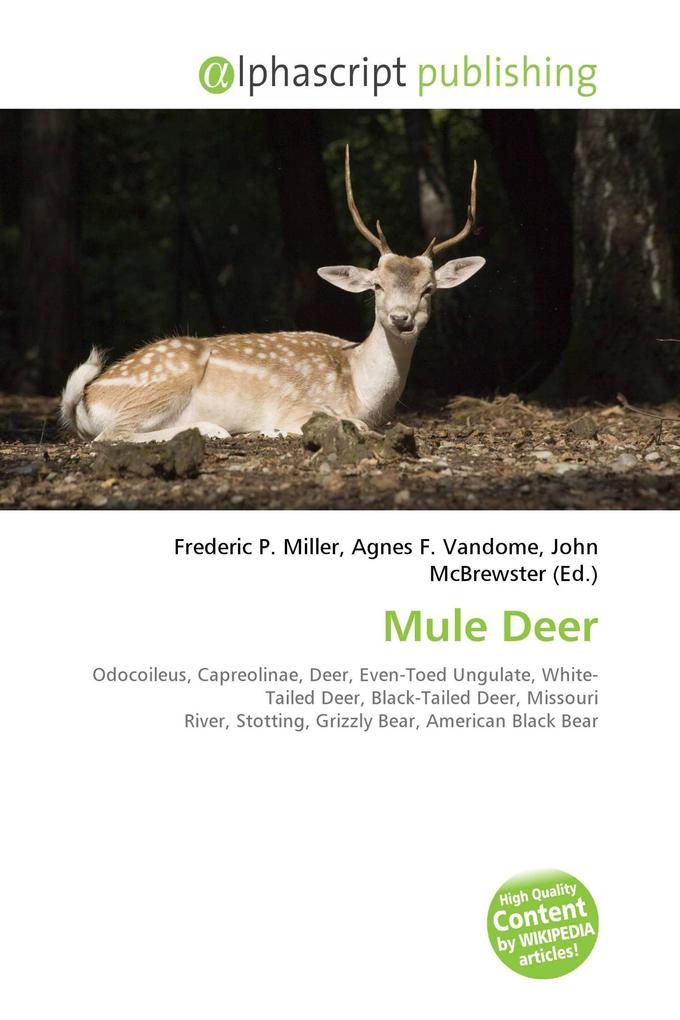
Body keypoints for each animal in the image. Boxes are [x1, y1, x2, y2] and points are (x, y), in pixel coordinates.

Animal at [61, 146, 485, 443]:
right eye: (377, 286)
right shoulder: (303, 405)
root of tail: (87, 399)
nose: (401, 318)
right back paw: (213, 430)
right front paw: (271, 430)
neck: (362, 393)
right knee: (108, 437)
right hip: (163, 383)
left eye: (428, 289)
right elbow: (350, 426)